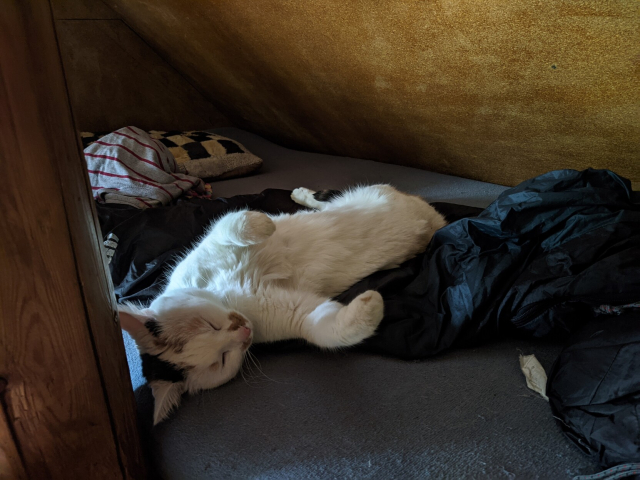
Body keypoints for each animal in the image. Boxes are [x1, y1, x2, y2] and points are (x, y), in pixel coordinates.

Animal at [121, 186, 444, 422]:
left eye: (209, 325)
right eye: (222, 359)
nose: (244, 330)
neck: (229, 297)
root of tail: (434, 219)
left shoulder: (212, 240)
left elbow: (235, 222)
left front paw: (266, 224)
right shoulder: (296, 313)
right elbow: (326, 331)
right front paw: (370, 306)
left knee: (327, 203)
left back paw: (299, 198)